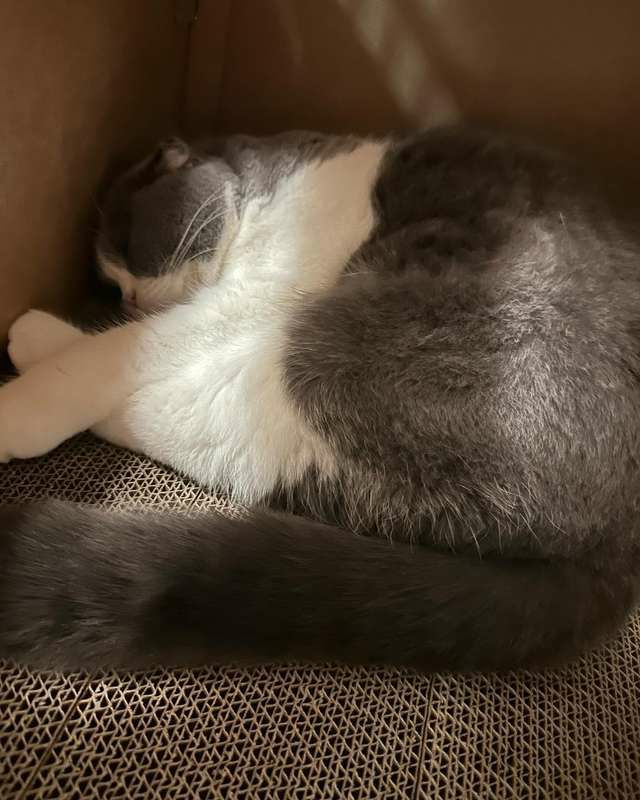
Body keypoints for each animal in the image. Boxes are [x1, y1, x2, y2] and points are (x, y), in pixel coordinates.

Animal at [1, 125, 640, 672]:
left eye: (133, 248)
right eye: (110, 286)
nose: (130, 302)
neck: (262, 194)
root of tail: (614, 545)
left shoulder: (255, 292)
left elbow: (127, 351)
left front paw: (28, 402)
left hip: (335, 346)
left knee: (223, 431)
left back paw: (33, 344)